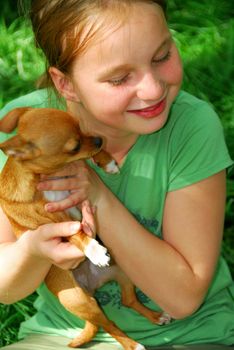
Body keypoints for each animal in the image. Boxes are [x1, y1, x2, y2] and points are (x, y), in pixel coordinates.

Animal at [0, 107, 170, 350]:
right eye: (74, 146)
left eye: (81, 127)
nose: (99, 140)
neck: (46, 177)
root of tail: (92, 285)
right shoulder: (57, 221)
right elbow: (76, 233)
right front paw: (94, 250)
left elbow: (87, 161)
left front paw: (106, 161)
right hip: (81, 301)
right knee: (109, 325)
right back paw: (132, 344)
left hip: (123, 274)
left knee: (128, 301)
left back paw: (155, 316)